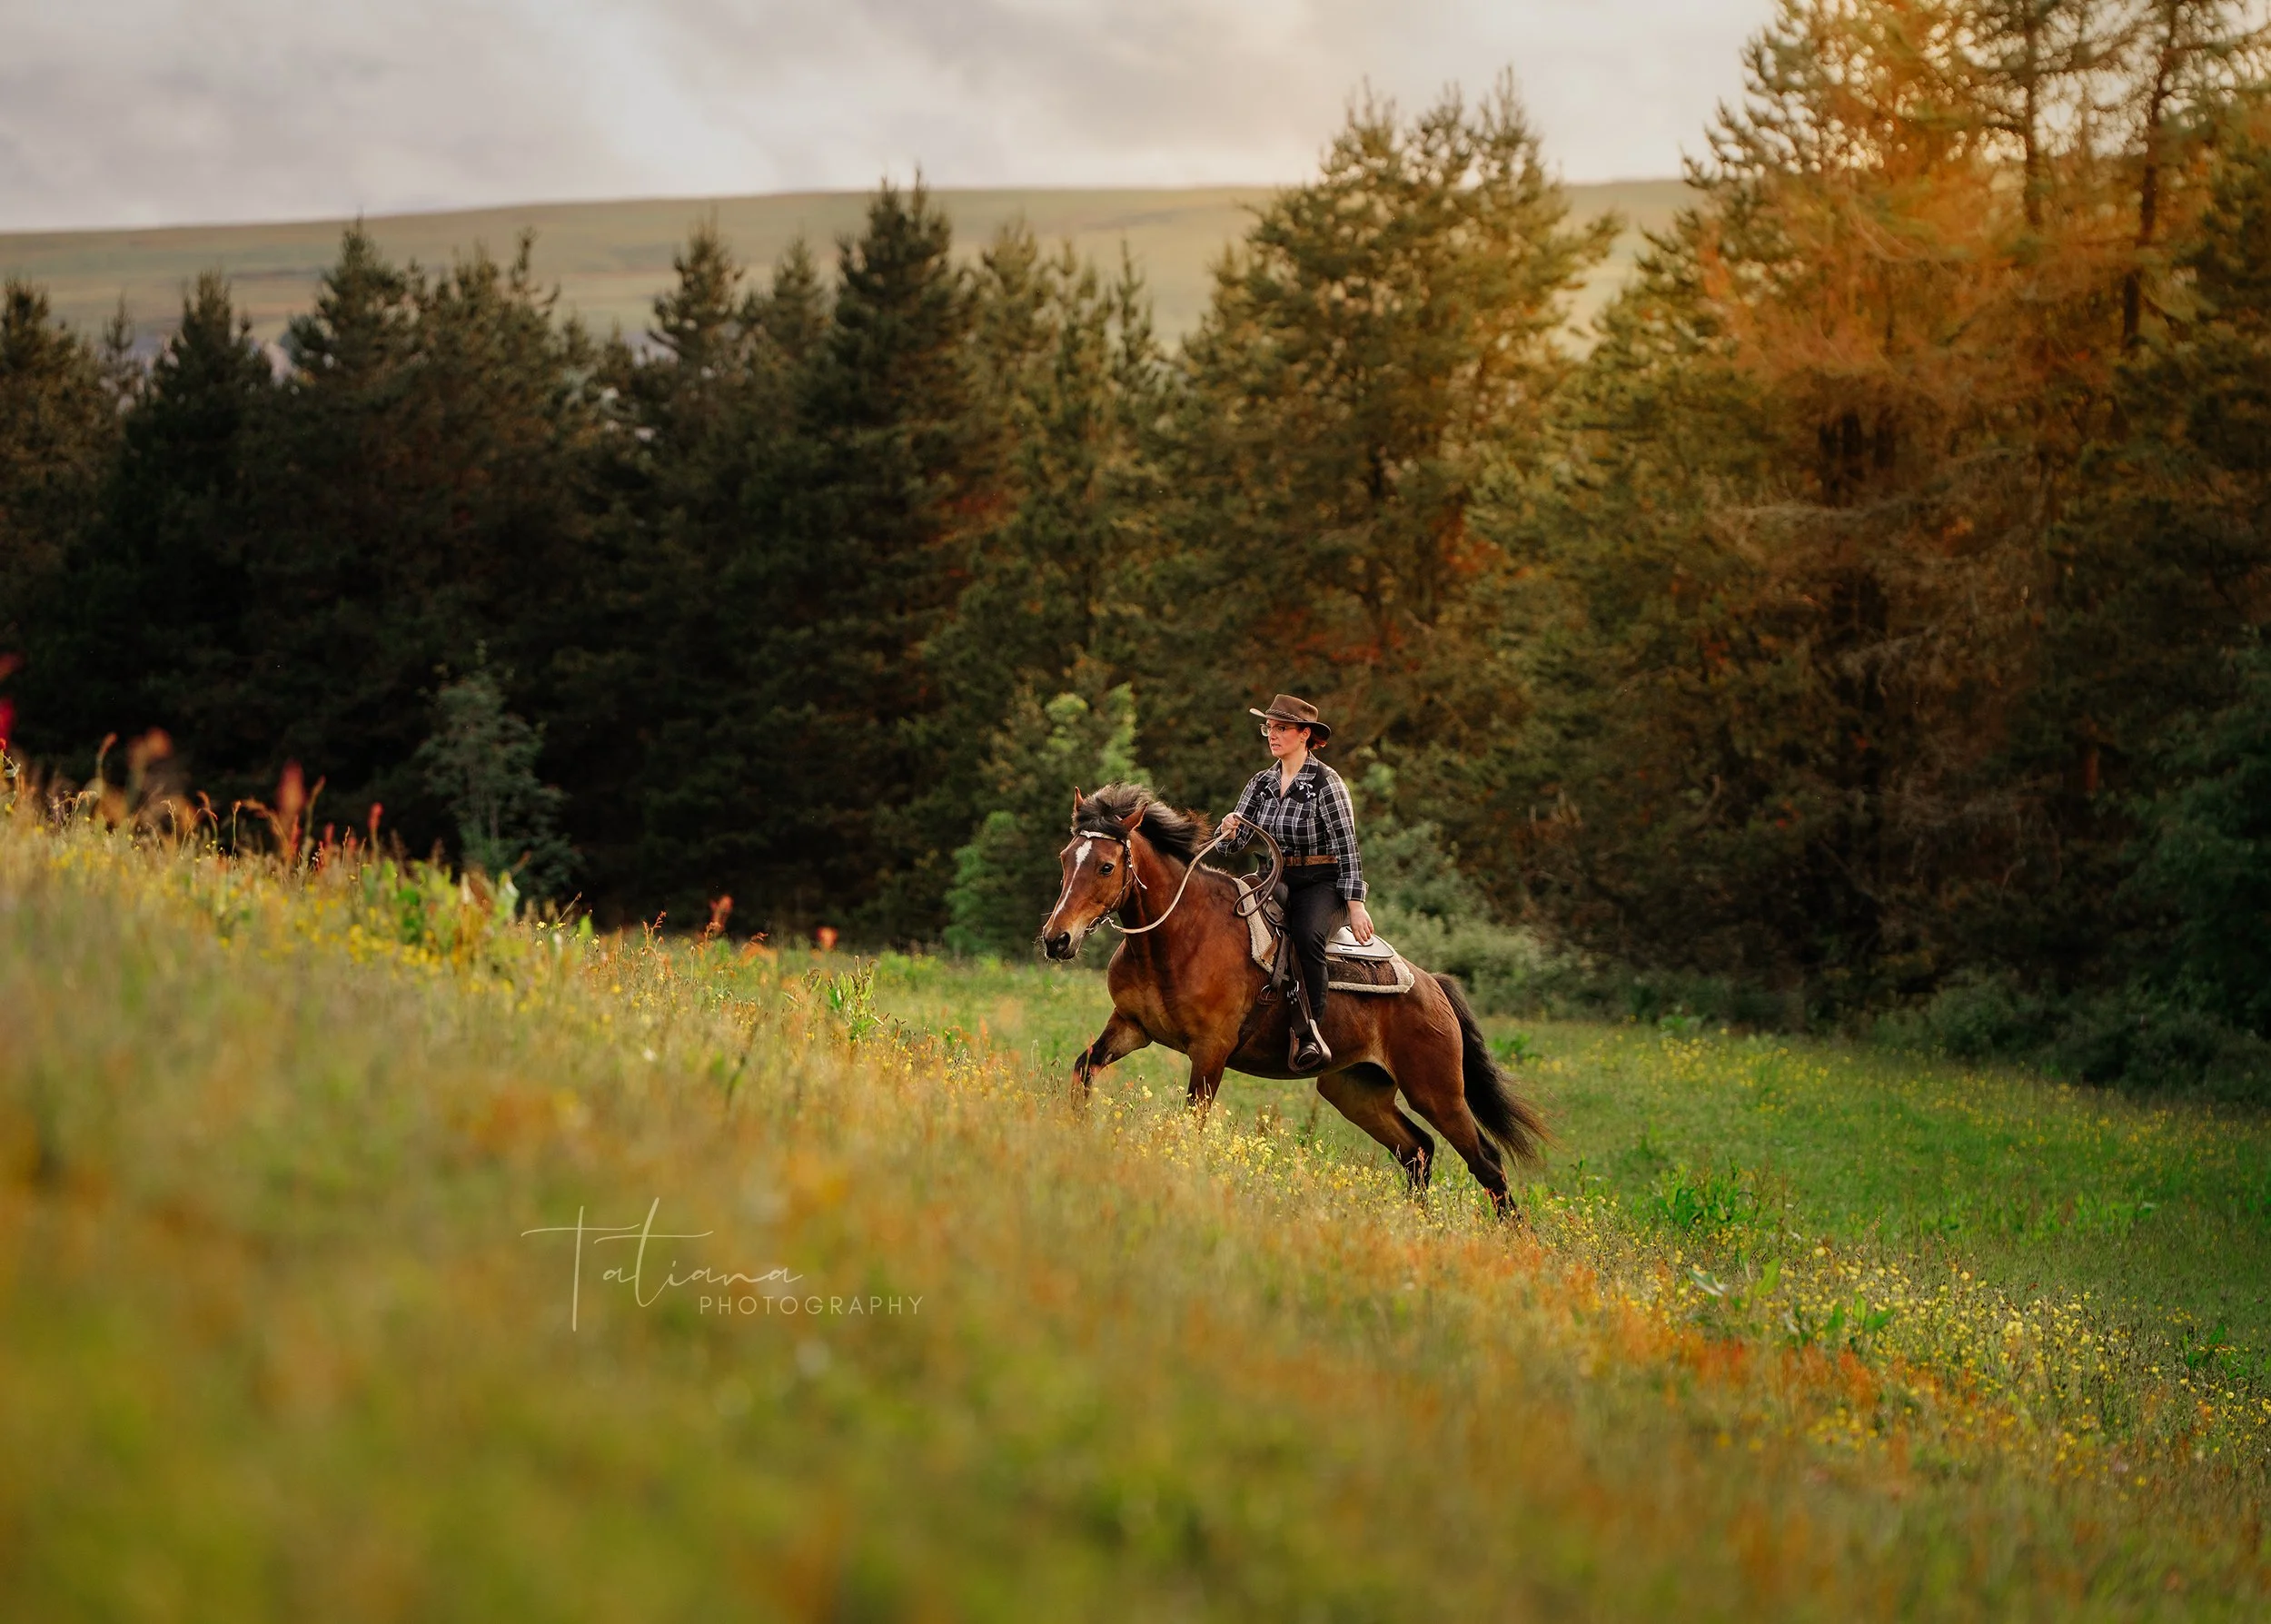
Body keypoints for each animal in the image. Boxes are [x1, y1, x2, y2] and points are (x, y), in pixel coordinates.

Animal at [1039, 783, 1547, 1215]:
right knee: (1417, 1150)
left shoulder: (1210, 1052)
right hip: (1354, 1089)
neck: (1179, 935)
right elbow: (1083, 1070)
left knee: (1485, 1161)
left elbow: (1192, 1124)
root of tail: (1432, 986)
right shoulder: (1131, 1027)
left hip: (1437, 1092)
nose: (1056, 939)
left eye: (1106, 866)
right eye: (1065, 858)